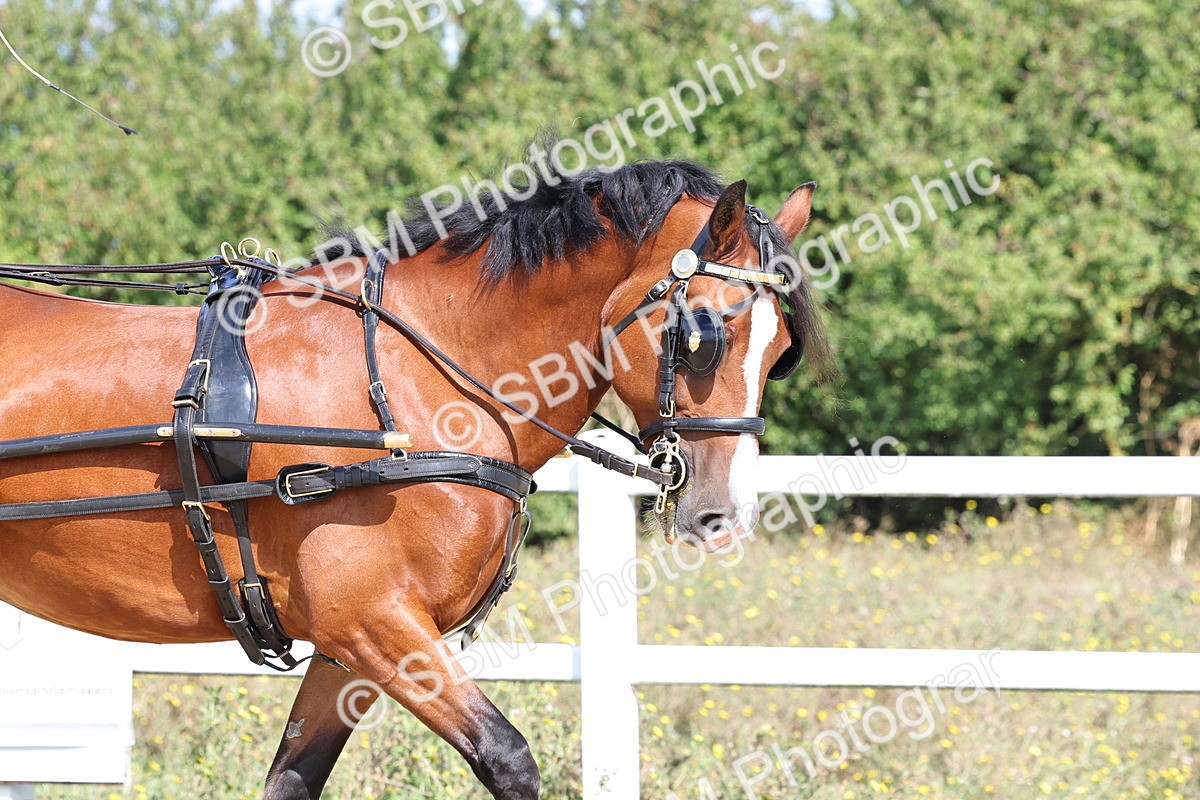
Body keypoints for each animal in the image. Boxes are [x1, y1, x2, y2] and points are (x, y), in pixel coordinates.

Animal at [0, 159, 833, 799]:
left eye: (780, 348)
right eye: (704, 334)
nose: (723, 514)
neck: (421, 379)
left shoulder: (348, 649)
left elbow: (292, 779)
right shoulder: (373, 622)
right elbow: (508, 759)